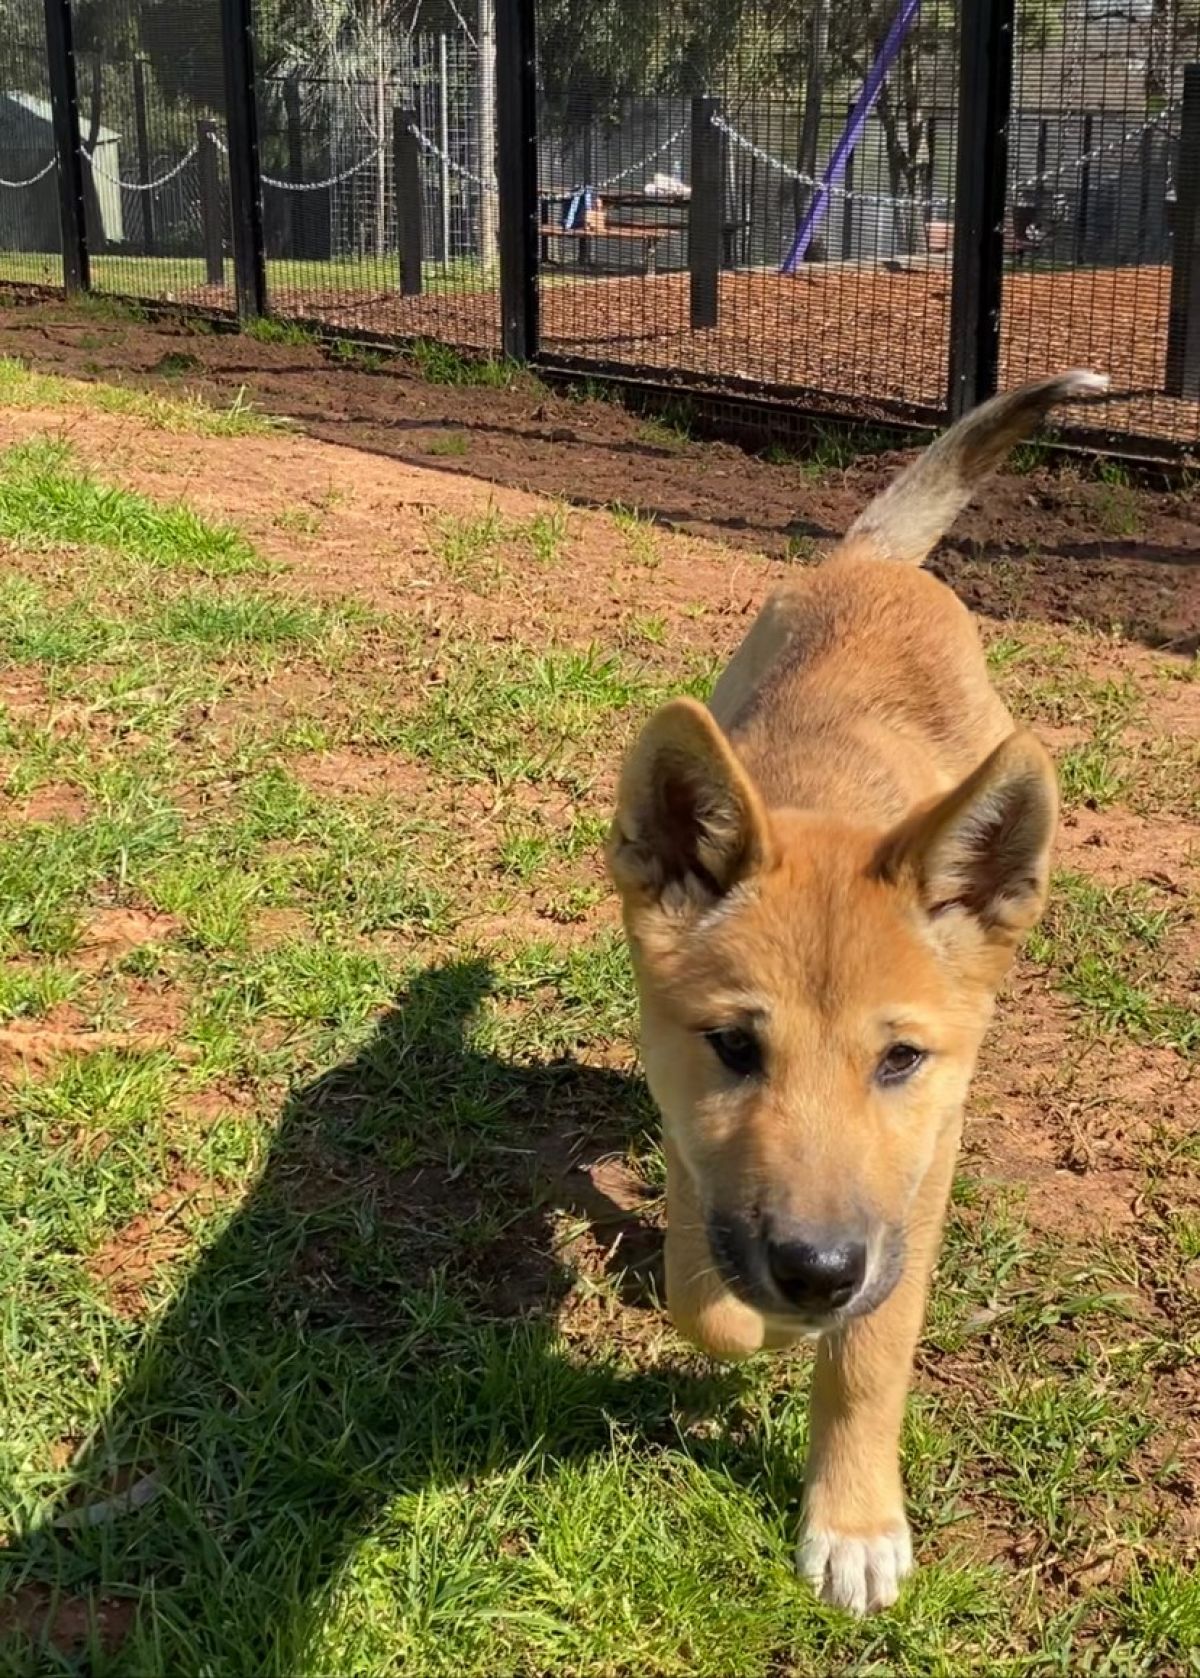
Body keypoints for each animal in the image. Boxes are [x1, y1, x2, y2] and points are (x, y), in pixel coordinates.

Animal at [610, 374, 1107, 1617]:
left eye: (900, 1060)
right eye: (735, 1046)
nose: (818, 1273)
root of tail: (876, 562)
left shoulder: (918, 1178)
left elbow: (874, 1357)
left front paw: (854, 1519)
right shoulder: (690, 1126)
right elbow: (704, 1294)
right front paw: (754, 1322)